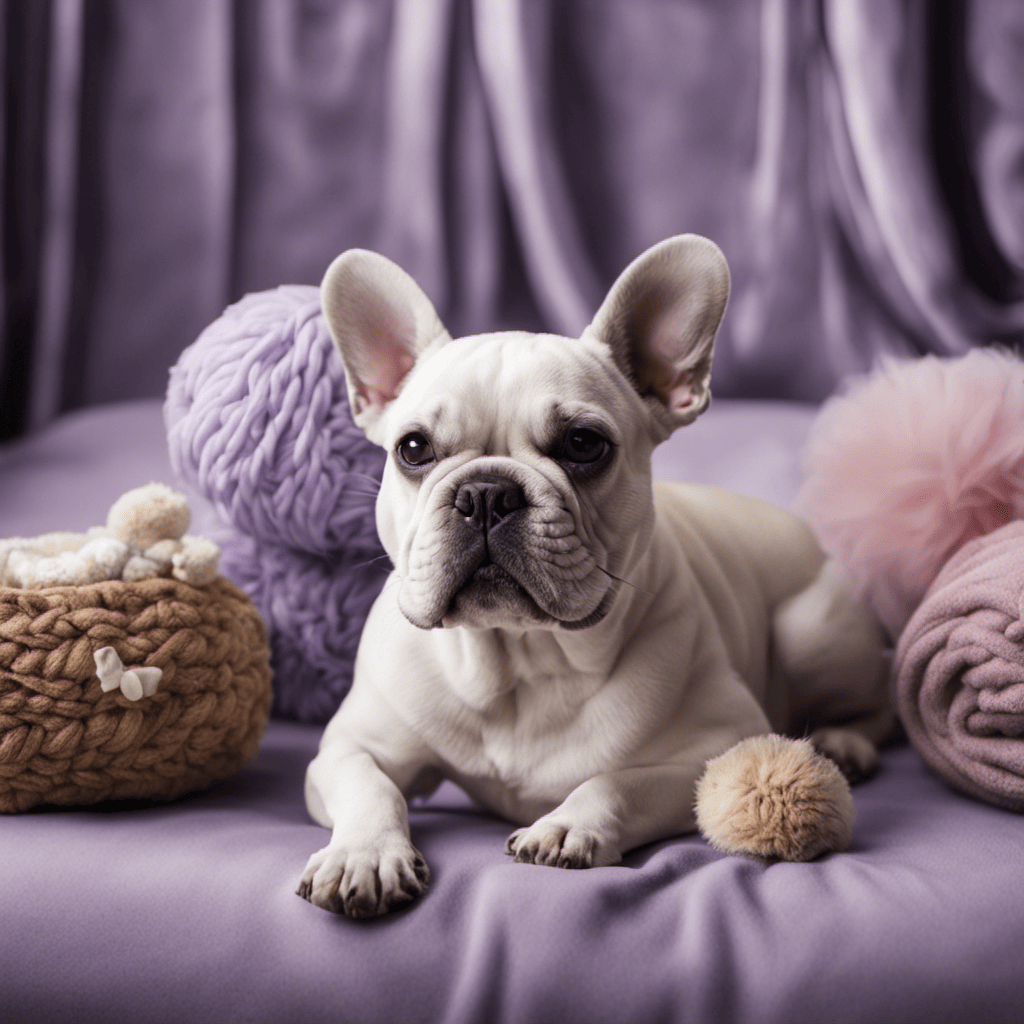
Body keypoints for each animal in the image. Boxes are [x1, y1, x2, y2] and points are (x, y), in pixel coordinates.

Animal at [296, 234, 888, 921]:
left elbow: (618, 781)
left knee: (882, 703)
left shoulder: (722, 744)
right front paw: (362, 853)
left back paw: (844, 743)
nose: (486, 493)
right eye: (412, 449)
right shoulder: (348, 748)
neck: (519, 661)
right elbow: (371, 787)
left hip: (811, 633)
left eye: (583, 444)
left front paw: (566, 826)